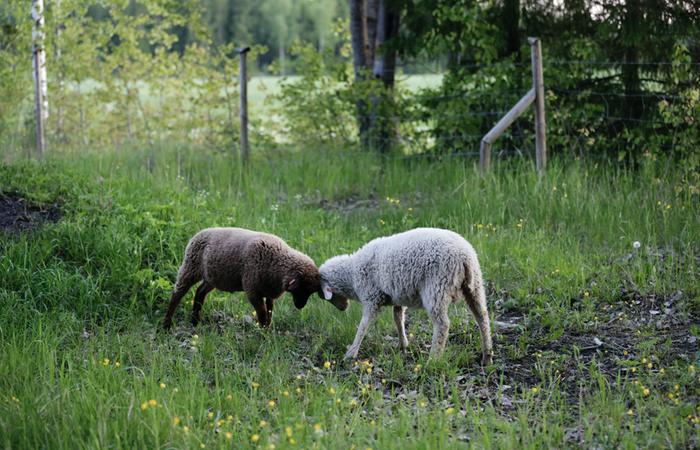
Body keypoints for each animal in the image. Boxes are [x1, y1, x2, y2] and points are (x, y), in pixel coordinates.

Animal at [162, 229, 322, 326]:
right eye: (302, 288)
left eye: (311, 292)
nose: (300, 306)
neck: (277, 261)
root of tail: (197, 234)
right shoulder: (252, 290)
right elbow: (262, 313)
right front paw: (264, 333)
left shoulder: (268, 290)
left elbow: (270, 310)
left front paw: (268, 328)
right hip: (190, 268)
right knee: (177, 294)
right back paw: (167, 324)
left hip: (212, 277)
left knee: (200, 292)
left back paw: (195, 321)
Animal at [320, 229, 494, 366]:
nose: (343, 308)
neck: (352, 273)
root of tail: (464, 256)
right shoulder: (397, 296)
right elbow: (398, 317)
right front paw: (403, 344)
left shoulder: (372, 298)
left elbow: (363, 326)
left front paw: (351, 353)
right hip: (475, 285)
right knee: (482, 317)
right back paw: (487, 356)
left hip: (437, 287)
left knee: (443, 325)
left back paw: (433, 360)